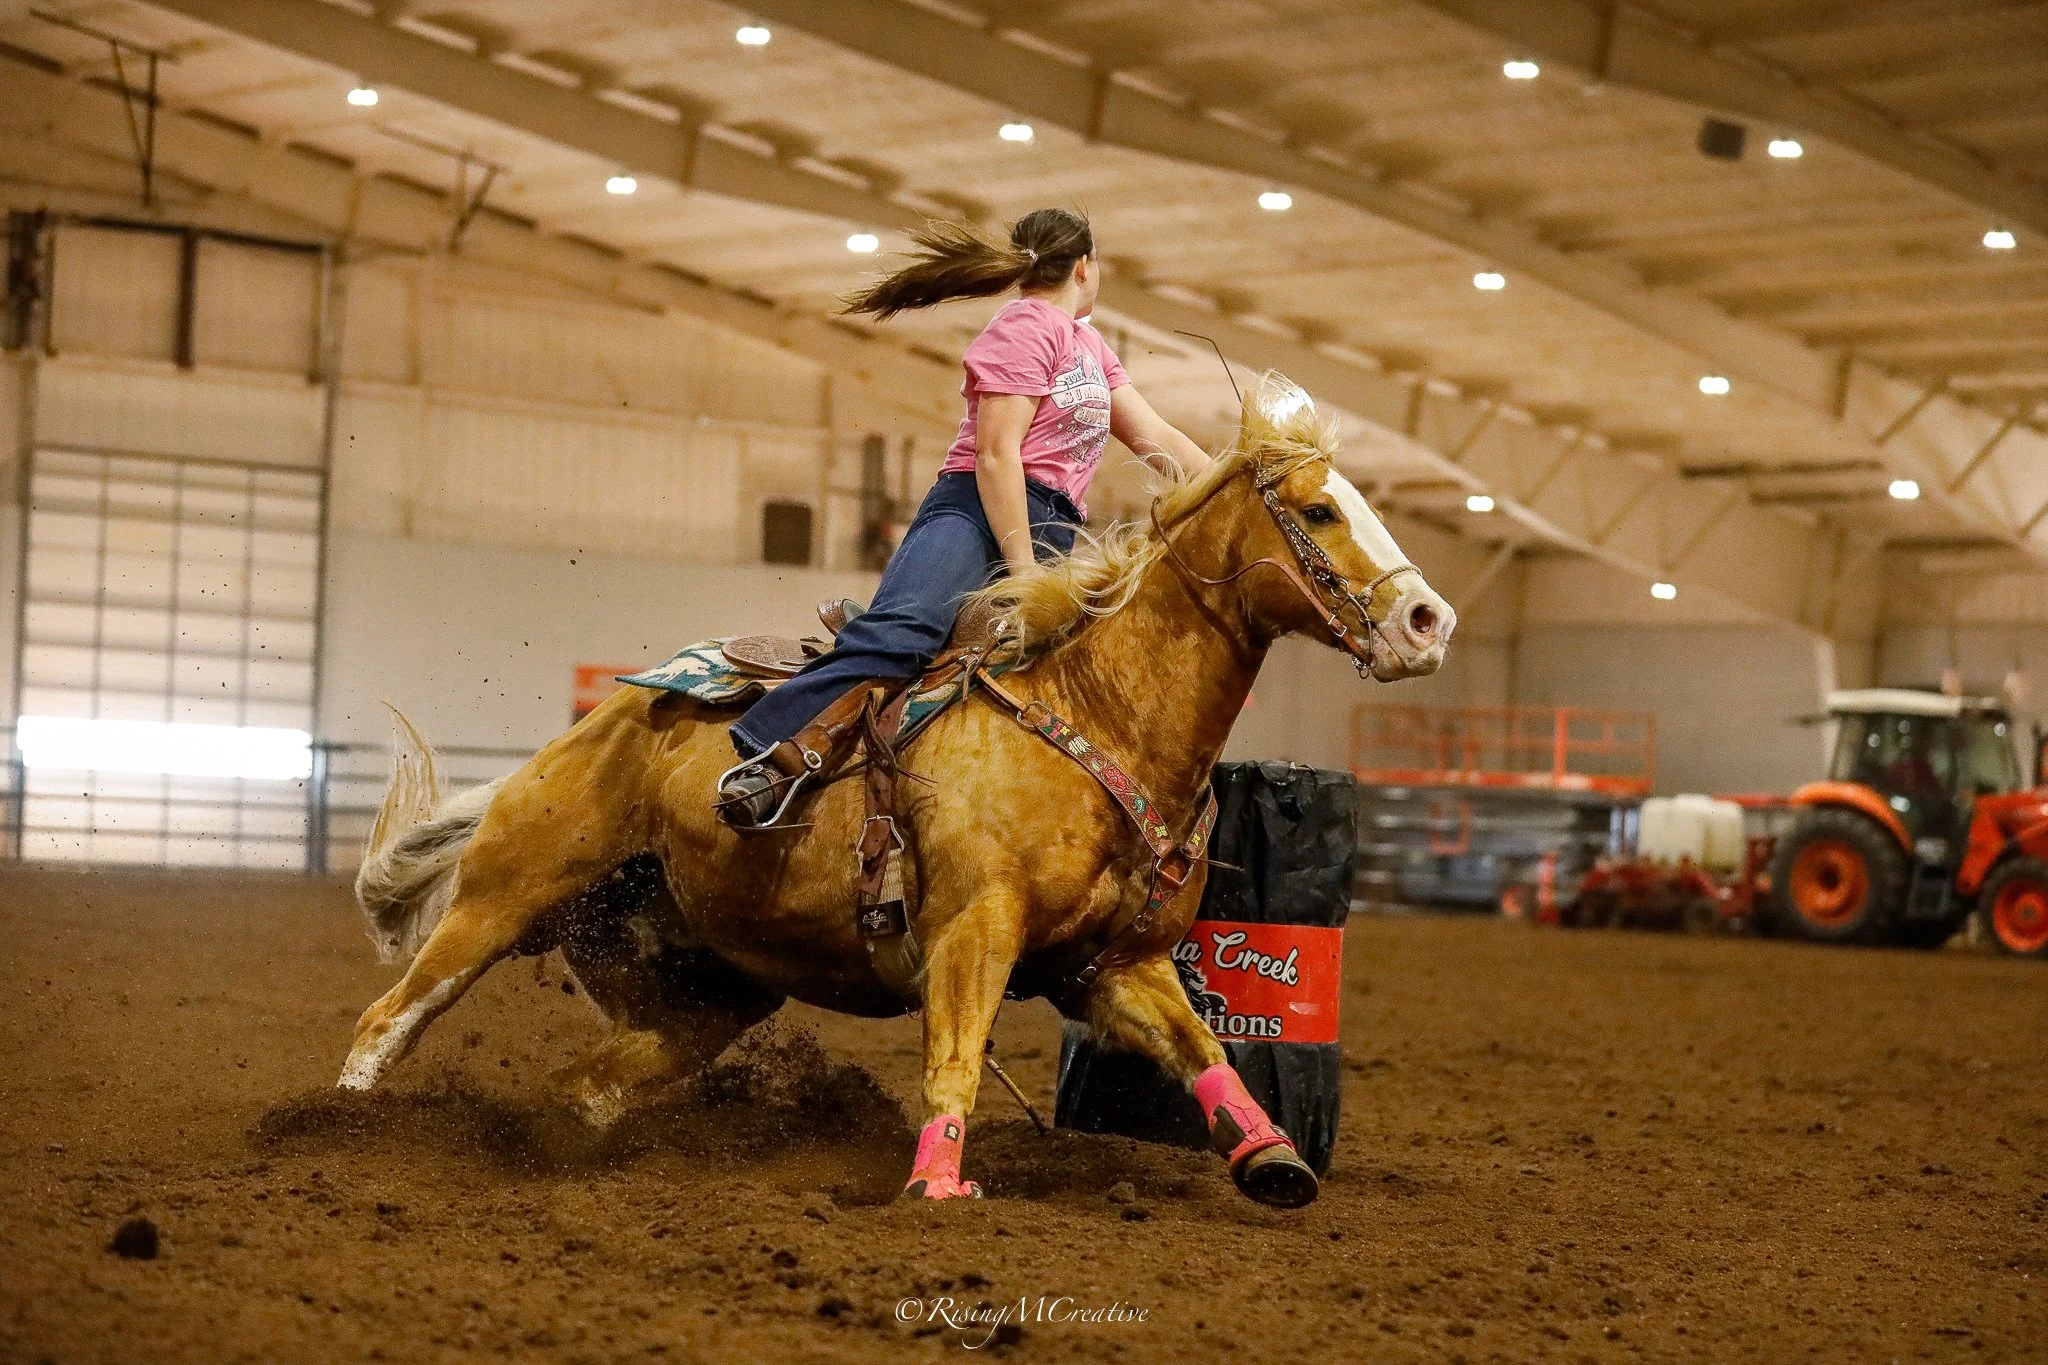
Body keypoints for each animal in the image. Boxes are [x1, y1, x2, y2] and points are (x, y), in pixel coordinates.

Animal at [337, 375, 1456, 1207]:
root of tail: (595, 725)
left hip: (704, 992)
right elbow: (952, 1060)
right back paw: (339, 1137)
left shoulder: (1118, 965)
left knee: (593, 1083)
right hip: (502, 895)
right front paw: (936, 1189)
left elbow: (1203, 1048)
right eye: (1318, 509)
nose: (1428, 622)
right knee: (390, 1018)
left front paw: (1273, 1158)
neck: (1096, 716)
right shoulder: (973, 928)